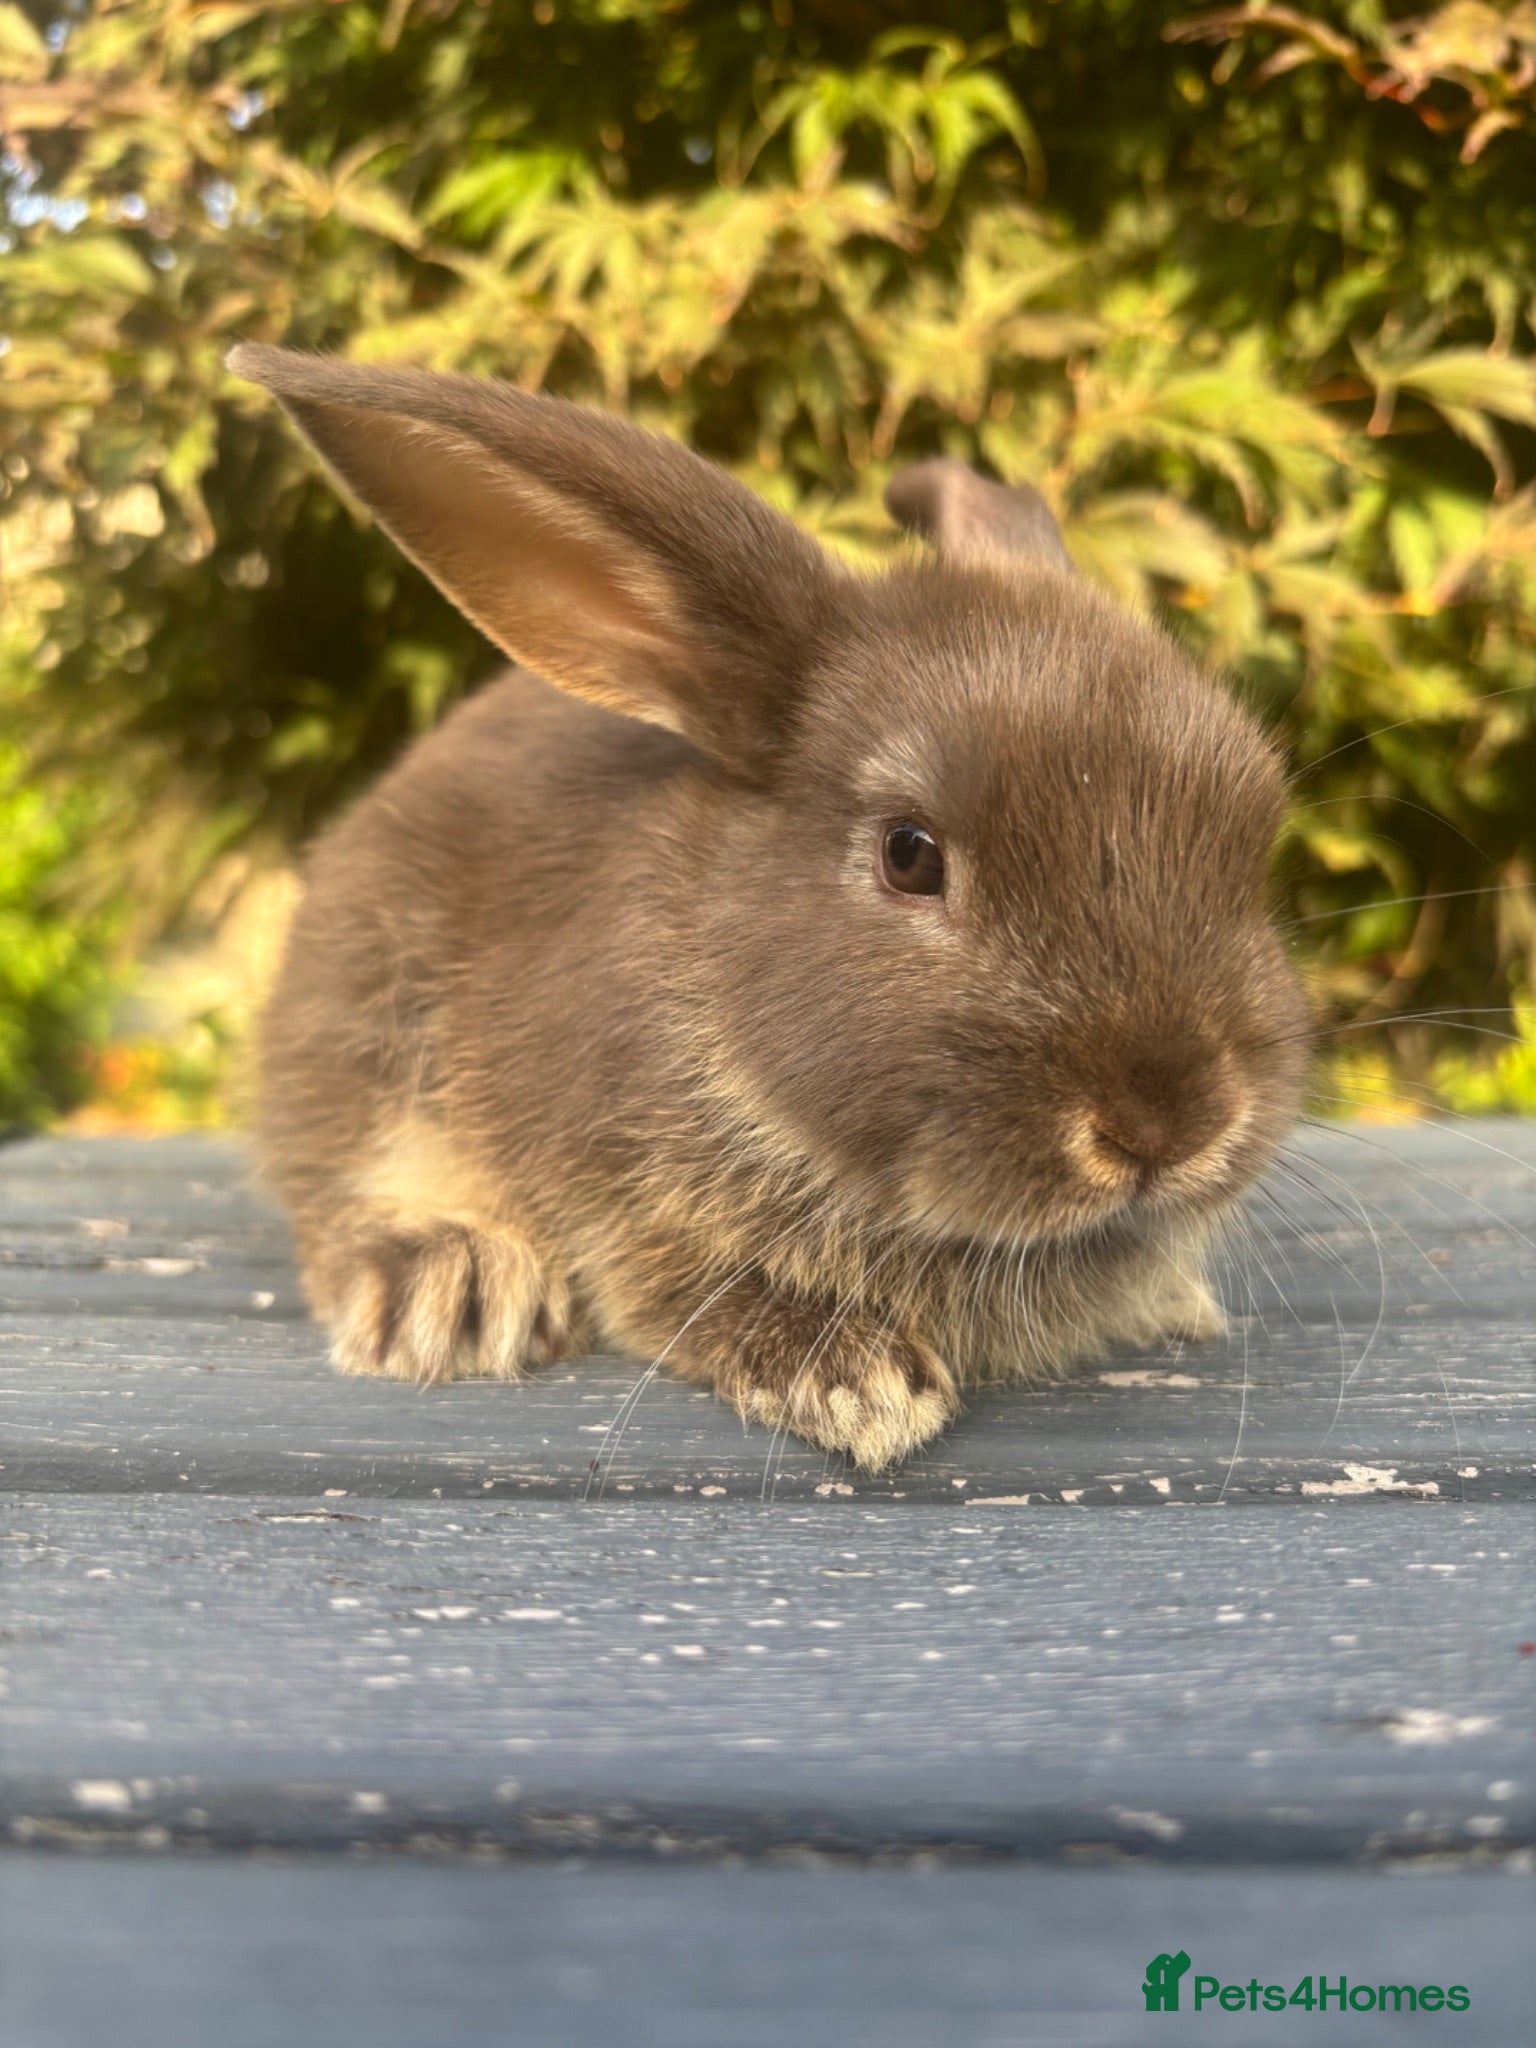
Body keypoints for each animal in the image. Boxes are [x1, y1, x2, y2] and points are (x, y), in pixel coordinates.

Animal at [229, 344, 1310, 1470]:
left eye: (1255, 828)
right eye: (909, 855)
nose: (1170, 1126)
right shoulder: (631, 1212)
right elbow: (688, 1296)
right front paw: (860, 1385)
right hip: (364, 1019)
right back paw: (451, 1283)